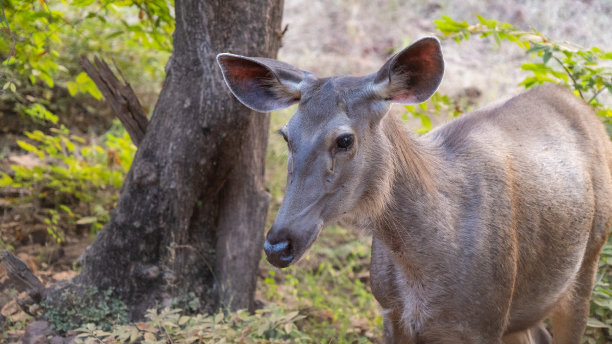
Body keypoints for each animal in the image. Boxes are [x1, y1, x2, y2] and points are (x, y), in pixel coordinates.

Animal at [215, 36, 612, 342]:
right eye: (286, 135)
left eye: (344, 139)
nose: (277, 244)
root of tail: (580, 106)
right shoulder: (390, 313)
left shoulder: (484, 321)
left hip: (589, 257)